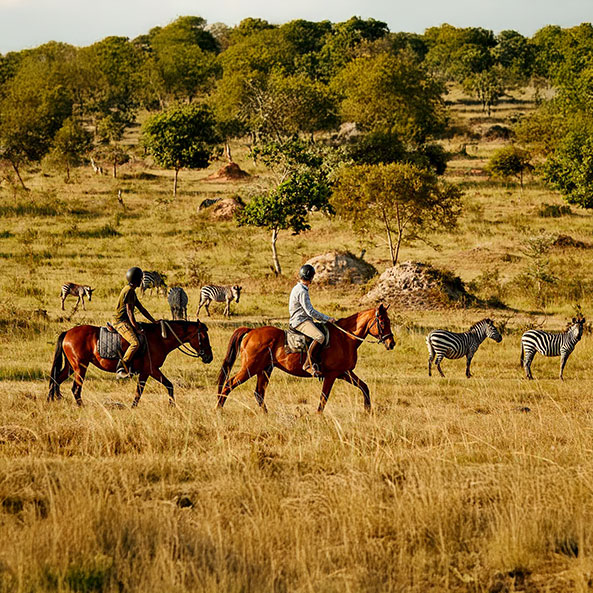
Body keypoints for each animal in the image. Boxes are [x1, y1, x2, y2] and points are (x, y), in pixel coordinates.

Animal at [48, 320, 213, 408]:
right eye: (204, 337)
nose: (209, 357)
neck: (159, 338)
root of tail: (67, 333)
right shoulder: (150, 370)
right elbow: (142, 390)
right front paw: (134, 407)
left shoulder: (149, 371)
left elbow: (166, 386)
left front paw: (171, 405)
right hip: (80, 367)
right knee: (76, 388)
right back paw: (81, 406)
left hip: (71, 367)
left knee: (56, 380)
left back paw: (53, 400)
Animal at [216, 306, 394, 412]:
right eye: (383, 322)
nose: (391, 343)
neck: (345, 337)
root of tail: (251, 331)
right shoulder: (332, 375)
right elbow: (324, 398)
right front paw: (318, 416)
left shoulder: (345, 372)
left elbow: (364, 387)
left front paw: (367, 410)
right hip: (250, 368)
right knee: (229, 384)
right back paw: (218, 410)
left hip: (264, 369)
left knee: (259, 393)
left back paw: (266, 415)